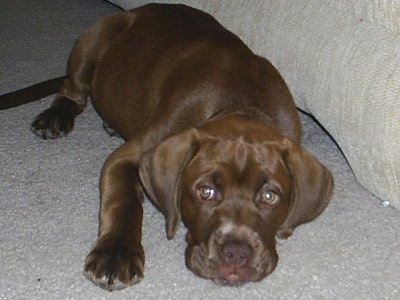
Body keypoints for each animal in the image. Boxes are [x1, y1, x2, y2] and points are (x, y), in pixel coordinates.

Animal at [0, 3, 332, 292]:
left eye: (269, 196)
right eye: (205, 192)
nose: (236, 254)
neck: (244, 102)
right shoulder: (127, 156)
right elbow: (124, 202)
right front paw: (115, 254)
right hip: (94, 38)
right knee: (72, 91)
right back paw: (55, 117)